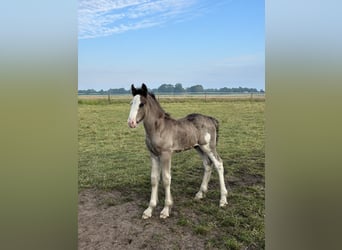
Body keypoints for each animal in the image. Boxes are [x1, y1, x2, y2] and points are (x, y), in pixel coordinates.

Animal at [126, 82, 227, 219]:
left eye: (142, 104)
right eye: (131, 103)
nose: (130, 122)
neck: (159, 129)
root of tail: (211, 119)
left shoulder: (166, 154)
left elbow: (166, 179)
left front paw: (166, 209)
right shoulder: (153, 155)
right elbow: (154, 179)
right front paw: (149, 210)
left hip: (208, 146)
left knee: (218, 164)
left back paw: (223, 200)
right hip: (199, 148)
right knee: (207, 165)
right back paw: (200, 194)